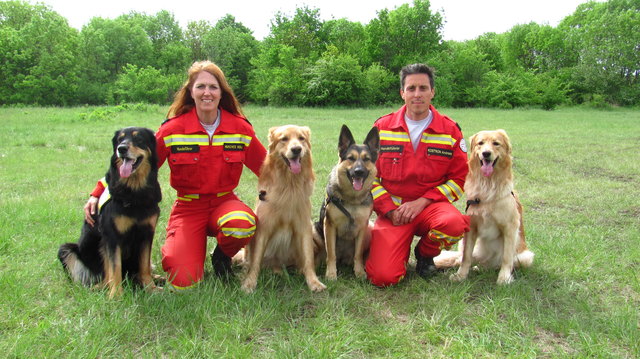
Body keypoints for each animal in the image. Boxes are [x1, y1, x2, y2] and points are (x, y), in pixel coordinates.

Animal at [58, 126, 162, 298]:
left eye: (139, 138)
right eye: (120, 139)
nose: (122, 149)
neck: (134, 191)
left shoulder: (147, 233)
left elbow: (144, 265)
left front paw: (150, 288)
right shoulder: (112, 236)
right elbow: (115, 267)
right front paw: (116, 295)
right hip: (66, 250)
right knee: (97, 277)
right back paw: (100, 286)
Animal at [316, 126, 380, 282]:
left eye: (366, 159)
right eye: (351, 158)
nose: (359, 172)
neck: (352, 199)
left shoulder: (363, 226)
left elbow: (358, 254)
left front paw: (359, 272)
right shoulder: (329, 225)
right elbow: (331, 254)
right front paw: (331, 274)